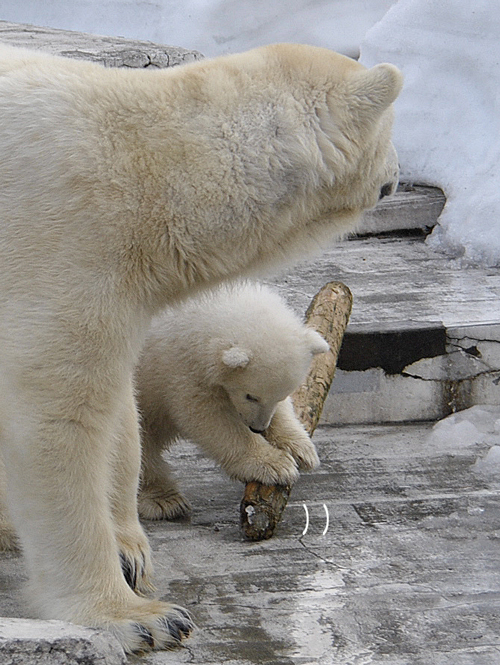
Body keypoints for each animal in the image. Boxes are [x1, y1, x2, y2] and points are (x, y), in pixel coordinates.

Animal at [0, 44, 402, 652]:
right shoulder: (63, 246)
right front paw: (141, 617)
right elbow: (56, 420)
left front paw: (131, 550)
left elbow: (117, 407)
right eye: (395, 127)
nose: (399, 173)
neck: (151, 169)